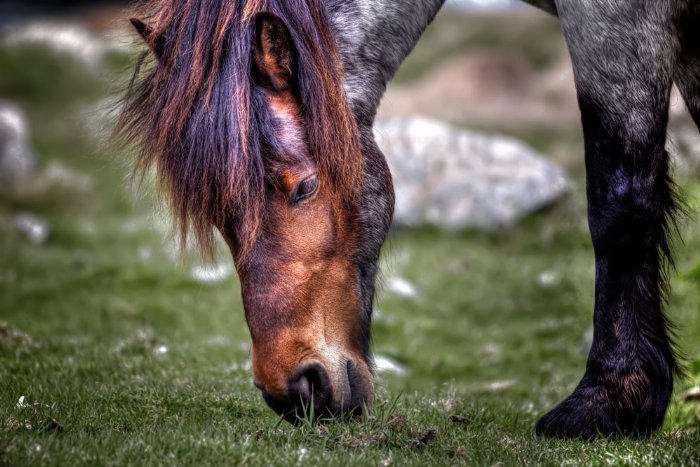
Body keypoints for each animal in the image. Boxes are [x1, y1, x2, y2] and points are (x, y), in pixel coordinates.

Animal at [117, 0, 700, 439]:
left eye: (303, 187)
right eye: (221, 216)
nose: (292, 392)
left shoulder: (618, 19)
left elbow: (618, 200)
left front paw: (611, 400)